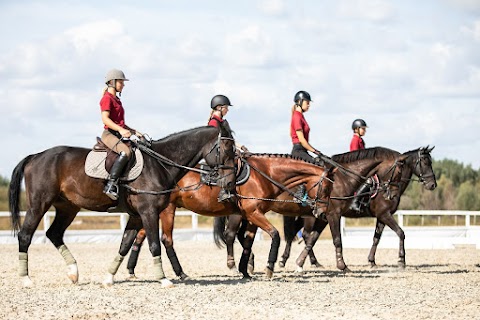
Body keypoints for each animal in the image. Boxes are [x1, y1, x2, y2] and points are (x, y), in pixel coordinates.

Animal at [8, 123, 237, 288]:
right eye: (227, 148)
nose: (230, 183)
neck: (159, 164)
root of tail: (36, 156)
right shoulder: (148, 212)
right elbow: (154, 244)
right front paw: (163, 279)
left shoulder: (136, 216)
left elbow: (125, 245)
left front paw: (108, 278)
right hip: (39, 204)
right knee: (26, 235)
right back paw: (26, 280)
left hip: (68, 208)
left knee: (54, 233)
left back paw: (73, 272)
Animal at [122, 154, 336, 278]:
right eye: (326, 188)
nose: (321, 213)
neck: (264, 174)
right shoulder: (253, 213)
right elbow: (274, 234)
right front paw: (268, 267)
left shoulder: (251, 215)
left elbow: (248, 241)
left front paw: (245, 270)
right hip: (167, 210)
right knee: (166, 239)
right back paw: (180, 273)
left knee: (141, 236)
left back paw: (131, 270)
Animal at [212, 146, 406, 272]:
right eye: (398, 172)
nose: (391, 194)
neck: (343, 179)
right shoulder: (334, 214)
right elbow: (336, 239)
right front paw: (342, 265)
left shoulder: (323, 215)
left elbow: (312, 239)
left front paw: (300, 263)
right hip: (243, 214)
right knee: (231, 234)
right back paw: (237, 265)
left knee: (245, 235)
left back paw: (252, 264)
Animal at [278, 147, 438, 270]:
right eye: (425, 162)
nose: (432, 185)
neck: (343, 178)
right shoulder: (383, 214)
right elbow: (401, 233)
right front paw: (401, 260)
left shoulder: (381, 216)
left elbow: (376, 238)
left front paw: (372, 261)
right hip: (309, 217)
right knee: (304, 234)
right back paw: (305, 261)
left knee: (298, 234)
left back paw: (291, 260)